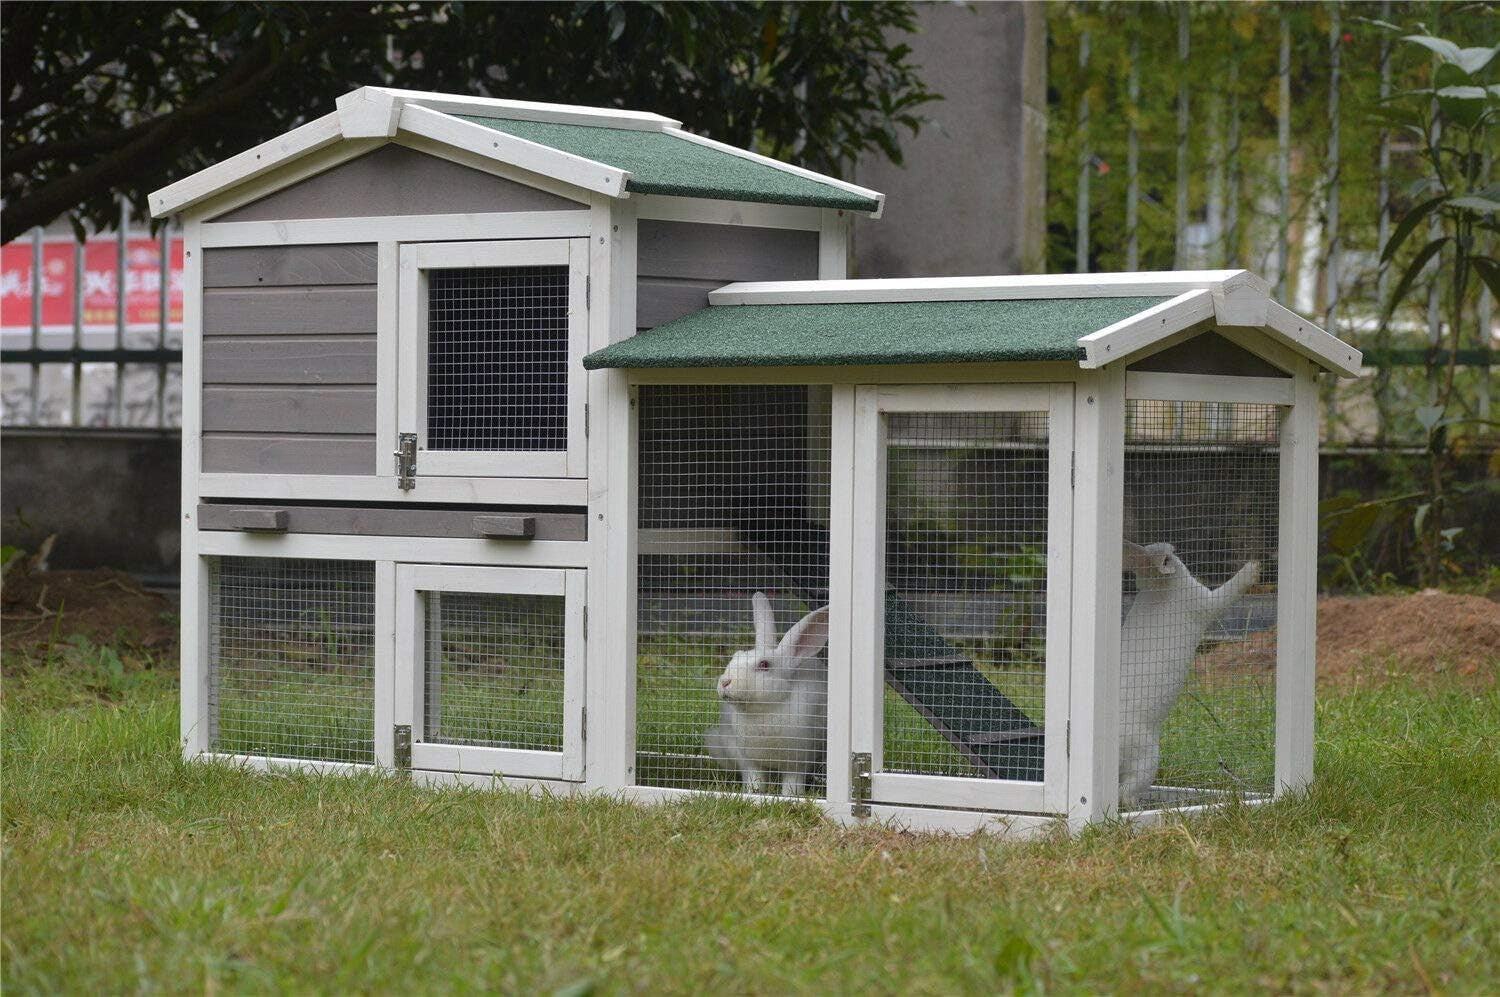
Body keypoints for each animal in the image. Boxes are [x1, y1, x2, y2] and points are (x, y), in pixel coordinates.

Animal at [703, 592, 830, 796]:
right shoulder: (748, 760)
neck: (764, 709)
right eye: (735, 656)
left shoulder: (798, 759)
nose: (725, 682)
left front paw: (790, 796)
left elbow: (792, 781)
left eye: (764, 664)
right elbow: (755, 778)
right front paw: (753, 792)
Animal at [1118, 541, 1260, 808]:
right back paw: (1136, 807)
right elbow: (1228, 592)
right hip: (1146, 757)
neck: (1160, 585)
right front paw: (1254, 567)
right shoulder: (1205, 602)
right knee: (1127, 791)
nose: (1172, 548)